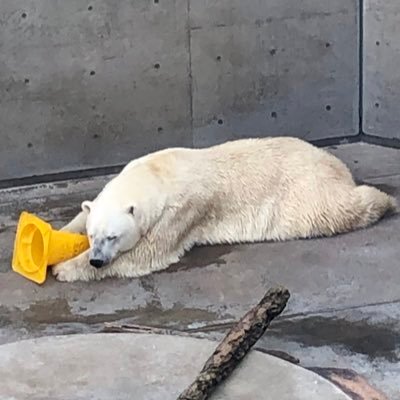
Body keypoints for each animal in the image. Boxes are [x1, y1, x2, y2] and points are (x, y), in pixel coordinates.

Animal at [52, 138, 396, 282]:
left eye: (112, 237)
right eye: (93, 235)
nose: (97, 260)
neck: (158, 172)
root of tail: (336, 165)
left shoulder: (183, 211)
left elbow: (148, 252)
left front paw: (64, 269)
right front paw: (57, 238)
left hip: (305, 194)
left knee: (338, 209)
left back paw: (386, 201)